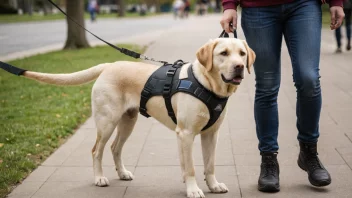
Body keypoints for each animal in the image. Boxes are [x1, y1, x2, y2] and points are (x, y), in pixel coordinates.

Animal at [20, 38, 254, 197]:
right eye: (223, 53)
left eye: (242, 54)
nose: (239, 67)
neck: (207, 84)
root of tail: (109, 65)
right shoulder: (186, 134)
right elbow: (190, 167)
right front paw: (193, 189)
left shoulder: (211, 134)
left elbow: (210, 164)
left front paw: (213, 186)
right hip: (107, 122)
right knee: (97, 150)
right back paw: (99, 178)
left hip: (128, 120)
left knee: (115, 148)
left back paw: (122, 173)